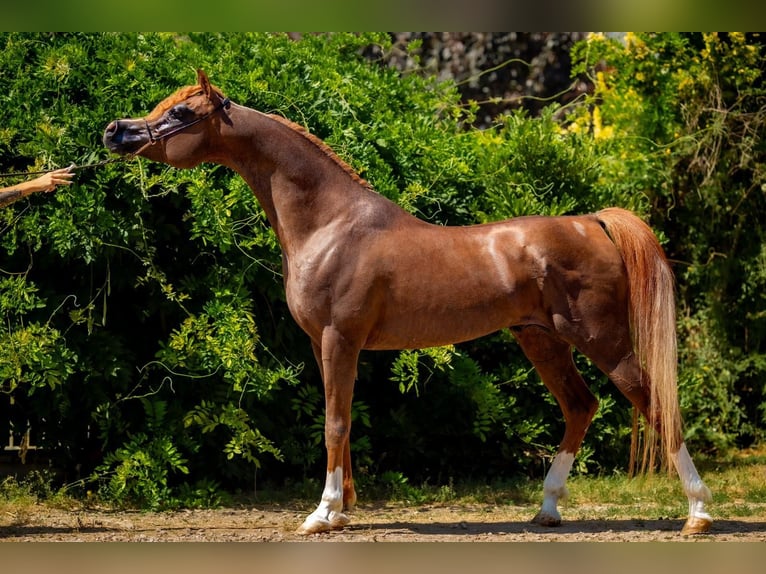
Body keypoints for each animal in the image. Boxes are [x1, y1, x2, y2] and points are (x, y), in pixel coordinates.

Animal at [103, 70, 712, 536]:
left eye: (182, 113)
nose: (116, 131)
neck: (332, 224)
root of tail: (591, 222)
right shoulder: (326, 346)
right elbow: (342, 419)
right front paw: (342, 511)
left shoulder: (340, 339)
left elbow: (335, 424)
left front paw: (322, 515)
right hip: (541, 339)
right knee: (580, 407)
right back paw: (546, 510)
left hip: (602, 339)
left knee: (655, 403)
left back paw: (698, 514)